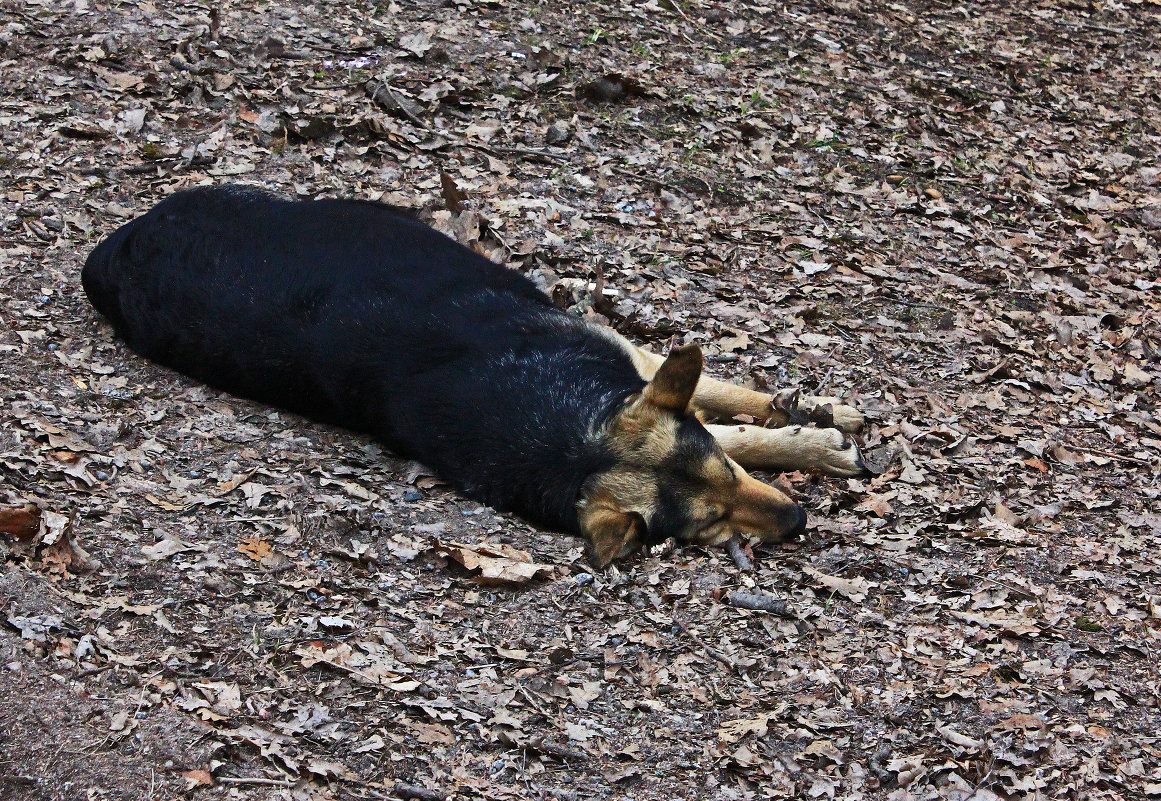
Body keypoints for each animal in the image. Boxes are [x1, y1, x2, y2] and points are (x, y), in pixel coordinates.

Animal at [81, 184, 868, 564]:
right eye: (709, 523)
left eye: (723, 482)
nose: (799, 519)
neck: (560, 429)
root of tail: (115, 246)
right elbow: (739, 424)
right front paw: (817, 443)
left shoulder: (636, 366)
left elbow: (722, 400)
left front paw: (814, 412)